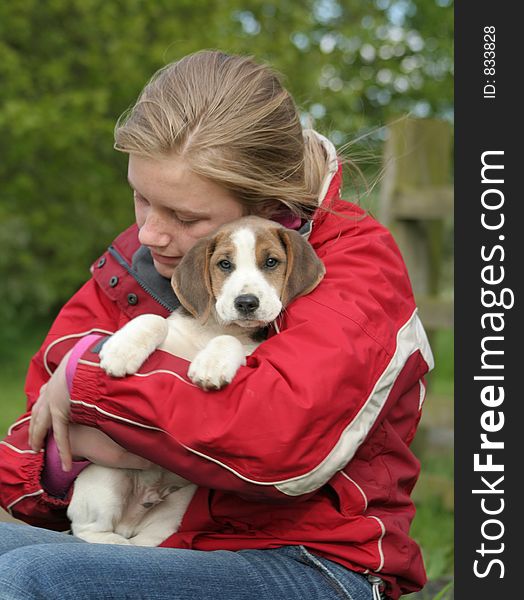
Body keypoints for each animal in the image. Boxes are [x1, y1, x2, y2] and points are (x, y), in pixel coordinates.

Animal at [67, 216, 326, 544]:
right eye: (225, 264)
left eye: (271, 262)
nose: (246, 302)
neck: (215, 328)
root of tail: (131, 520)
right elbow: (154, 320)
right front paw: (121, 349)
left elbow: (229, 342)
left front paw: (211, 365)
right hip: (105, 476)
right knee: (88, 529)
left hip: (177, 505)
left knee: (141, 540)